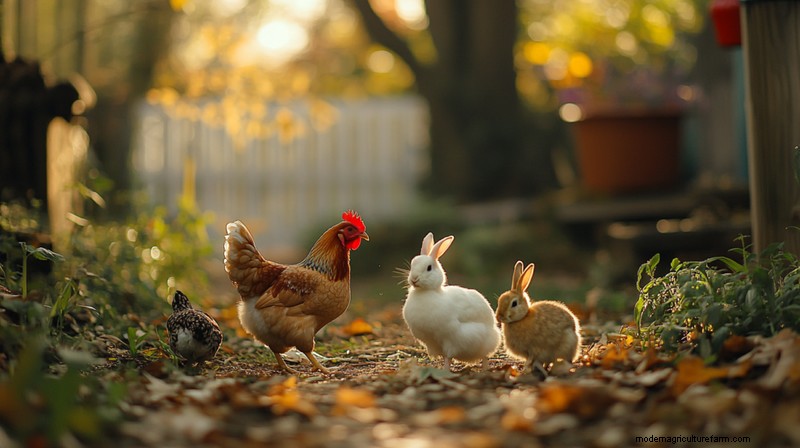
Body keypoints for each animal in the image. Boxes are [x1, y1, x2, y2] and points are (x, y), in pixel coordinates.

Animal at [402, 232, 501, 372]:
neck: (427, 292)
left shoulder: (450, 341)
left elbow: (448, 357)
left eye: (429, 268)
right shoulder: (434, 344)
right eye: (412, 264)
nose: (414, 279)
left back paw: (485, 369)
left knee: (485, 356)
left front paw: (445, 370)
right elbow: (444, 357)